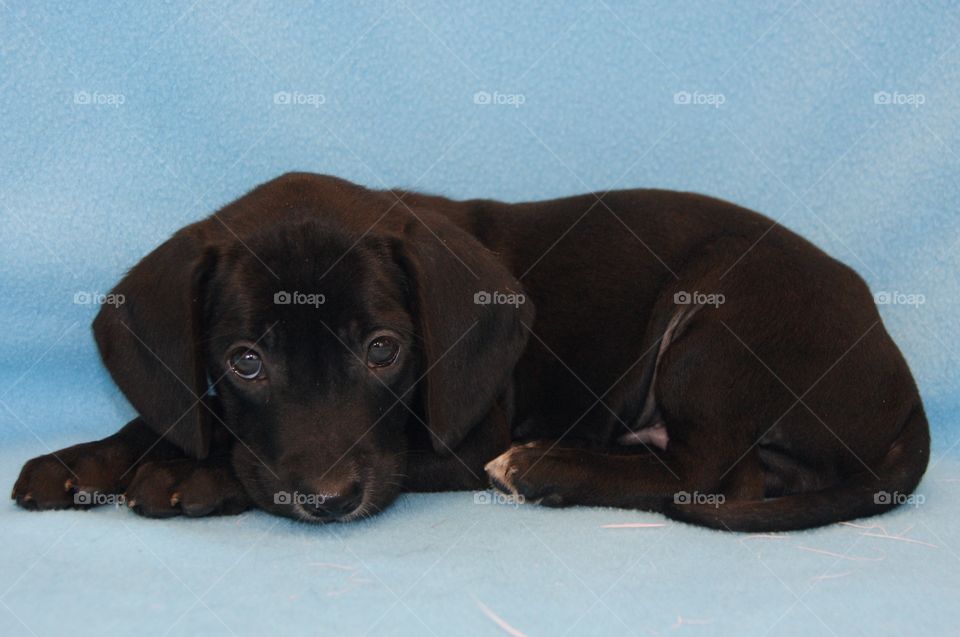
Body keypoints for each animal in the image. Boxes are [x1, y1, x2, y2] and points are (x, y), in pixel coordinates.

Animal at [9, 171, 928, 528]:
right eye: (245, 362)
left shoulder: (457, 438)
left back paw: (547, 467)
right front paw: (85, 459)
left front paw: (191, 474)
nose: (327, 498)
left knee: (706, 477)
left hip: (718, 316)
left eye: (384, 350)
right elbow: (185, 413)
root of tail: (902, 379)